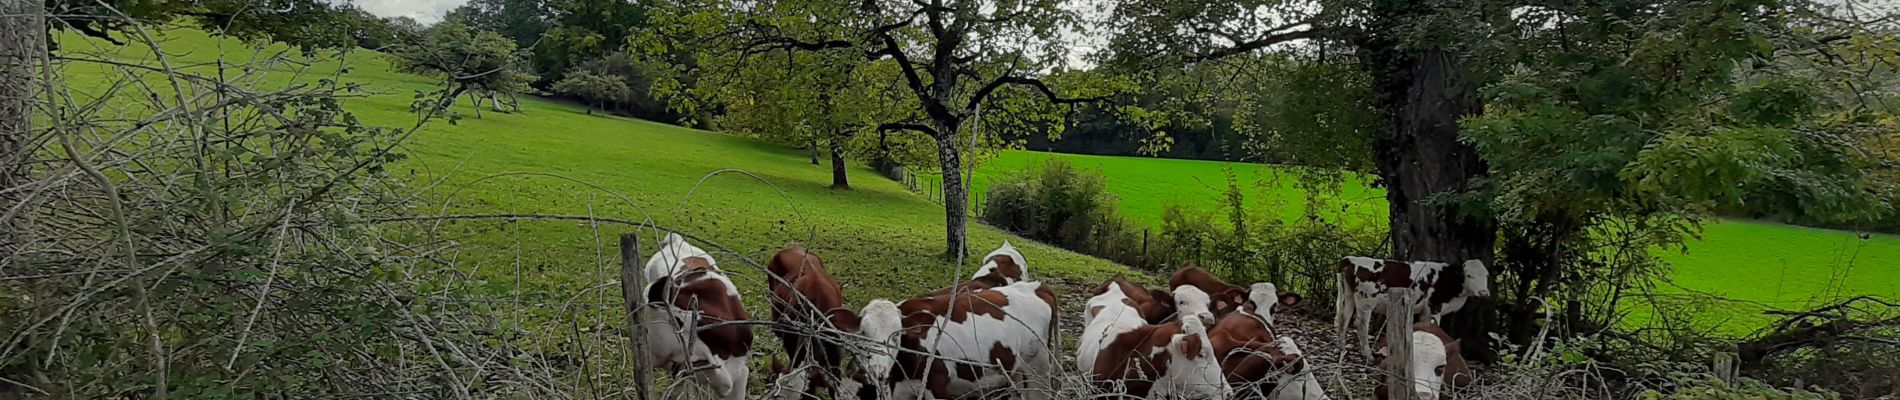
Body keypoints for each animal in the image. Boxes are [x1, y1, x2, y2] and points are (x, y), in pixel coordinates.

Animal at [843, 280, 1056, 398]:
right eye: (863, 333)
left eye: (897, 335)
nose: (877, 371)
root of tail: (1036, 287)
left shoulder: (937, 386)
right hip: (1015, 375)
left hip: (1038, 372)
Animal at [1330, 257, 1489, 358]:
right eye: (1469, 275)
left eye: (1486, 275)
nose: (1484, 292)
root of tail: (1351, 259)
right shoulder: (1435, 307)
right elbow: (1435, 328)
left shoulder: (1426, 311)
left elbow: (1426, 328)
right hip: (1365, 302)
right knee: (1361, 325)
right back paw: (1368, 355)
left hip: (1347, 296)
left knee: (1343, 319)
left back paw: (1341, 347)